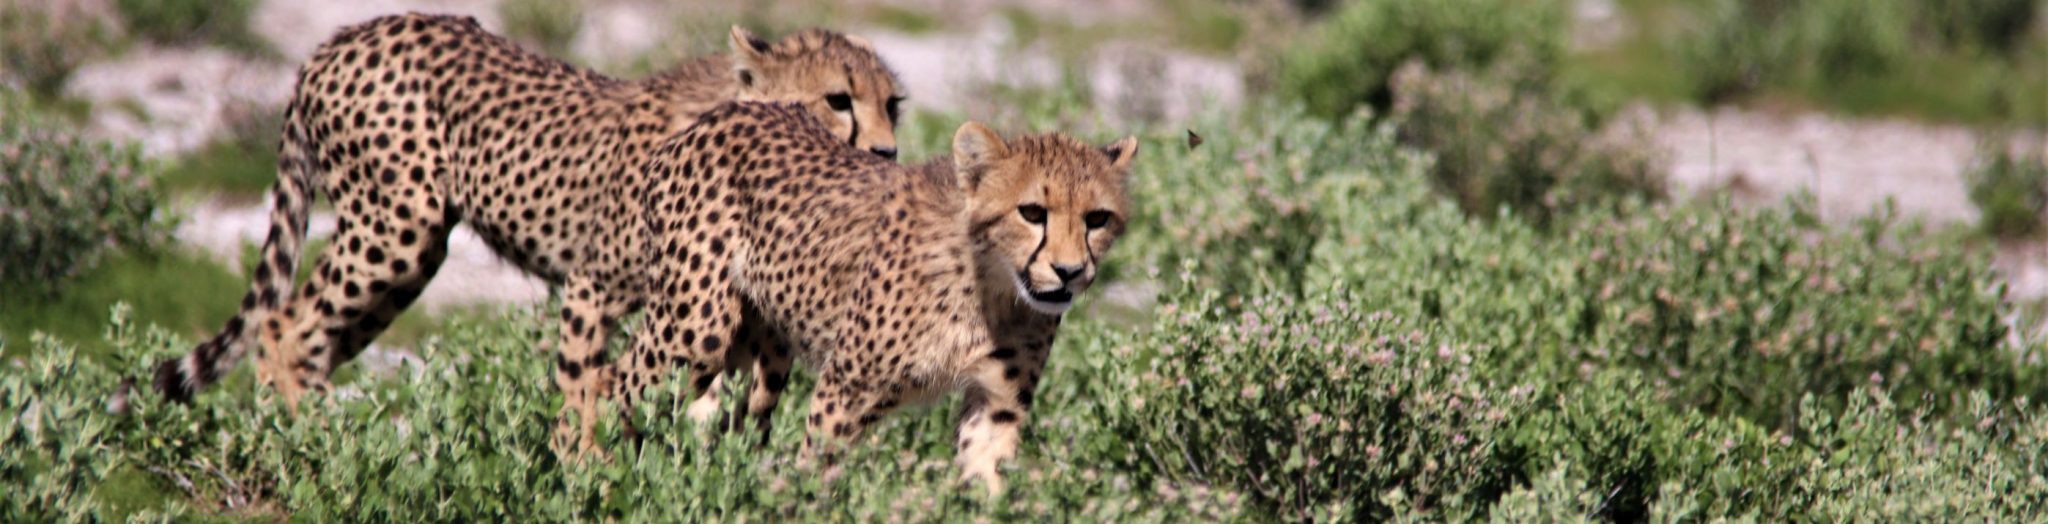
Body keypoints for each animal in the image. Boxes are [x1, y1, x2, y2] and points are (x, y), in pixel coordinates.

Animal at [149, 11, 905, 405]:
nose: (889, 152)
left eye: (892, 104)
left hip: (413, 253)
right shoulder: (595, 287)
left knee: (318, 335)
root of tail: (338, 38)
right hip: (395, 225)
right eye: (838, 100)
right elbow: (583, 382)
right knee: (285, 326)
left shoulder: (747, 320)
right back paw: (313, 444)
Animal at [585, 100, 1146, 493]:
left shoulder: (997, 404)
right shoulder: (847, 388)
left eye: (1097, 218)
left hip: (763, 352)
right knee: (613, 382)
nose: (1069, 272)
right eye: (1032, 212)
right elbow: (819, 473)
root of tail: (719, 114)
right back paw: (594, 479)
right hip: (694, 330)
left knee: (732, 424)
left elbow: (986, 479)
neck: (993, 285)